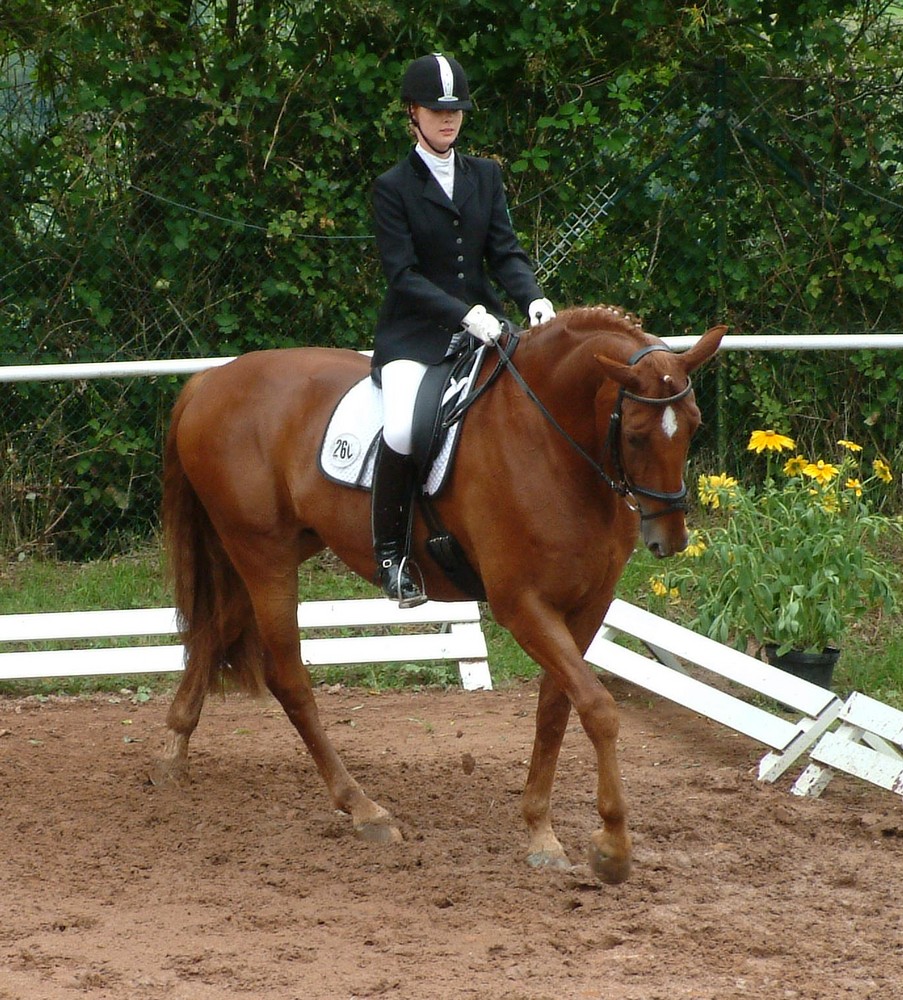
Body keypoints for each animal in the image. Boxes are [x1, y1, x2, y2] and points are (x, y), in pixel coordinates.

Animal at [161, 304, 728, 884]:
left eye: (693, 425)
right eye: (635, 435)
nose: (669, 539)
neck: (551, 444)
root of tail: (212, 380)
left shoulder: (587, 606)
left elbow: (555, 708)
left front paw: (540, 831)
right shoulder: (521, 605)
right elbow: (597, 707)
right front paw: (613, 847)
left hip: (280, 549)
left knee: (215, 629)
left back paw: (176, 749)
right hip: (265, 556)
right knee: (288, 679)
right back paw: (363, 809)